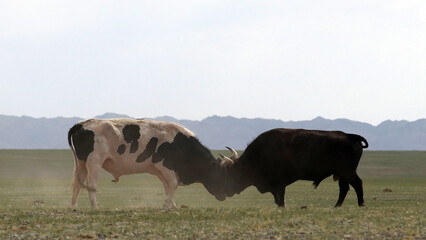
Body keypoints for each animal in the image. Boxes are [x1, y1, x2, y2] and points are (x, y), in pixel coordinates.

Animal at [68, 118, 231, 208]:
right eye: (218, 175)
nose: (224, 195)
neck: (180, 143)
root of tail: (82, 124)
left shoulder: (160, 171)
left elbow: (167, 187)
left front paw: (172, 205)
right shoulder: (165, 167)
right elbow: (172, 184)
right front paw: (167, 205)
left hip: (81, 162)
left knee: (77, 184)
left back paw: (74, 207)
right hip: (94, 162)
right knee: (91, 184)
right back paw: (95, 206)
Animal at [223, 128, 370, 207]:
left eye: (233, 173)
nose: (225, 192)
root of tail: (350, 136)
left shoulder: (279, 183)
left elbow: (280, 197)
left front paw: (282, 207)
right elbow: (278, 198)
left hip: (348, 172)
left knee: (357, 184)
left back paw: (360, 204)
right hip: (342, 174)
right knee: (345, 188)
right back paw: (336, 207)